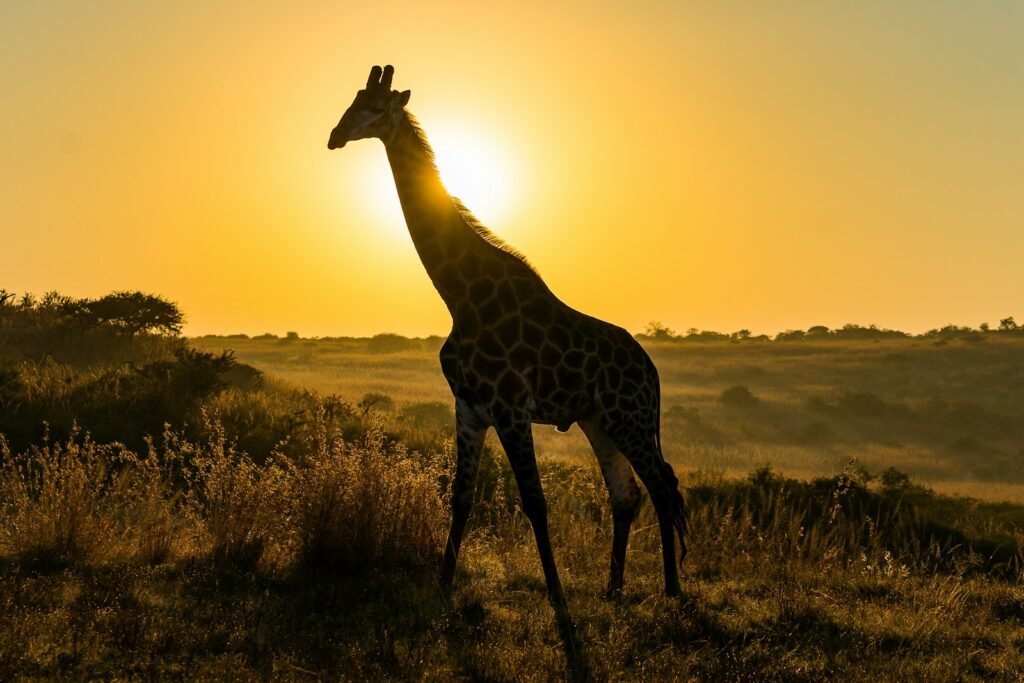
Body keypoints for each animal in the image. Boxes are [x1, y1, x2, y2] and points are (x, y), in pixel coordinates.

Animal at [327, 65, 687, 604]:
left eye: (373, 108)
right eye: (350, 102)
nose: (334, 136)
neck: (460, 296)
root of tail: (652, 371)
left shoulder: (512, 407)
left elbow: (535, 501)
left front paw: (558, 598)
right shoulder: (470, 406)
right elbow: (460, 497)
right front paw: (444, 586)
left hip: (632, 418)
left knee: (663, 487)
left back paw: (672, 591)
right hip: (599, 420)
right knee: (627, 494)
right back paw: (613, 588)